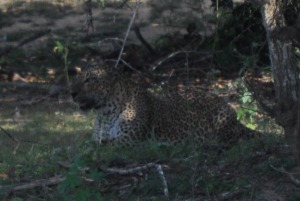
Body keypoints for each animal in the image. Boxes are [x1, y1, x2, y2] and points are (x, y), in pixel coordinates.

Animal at [71, 65, 255, 145]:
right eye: (78, 77)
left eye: (90, 79)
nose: (71, 93)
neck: (105, 113)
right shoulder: (98, 137)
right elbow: (91, 143)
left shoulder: (128, 140)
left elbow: (102, 146)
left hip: (221, 119)